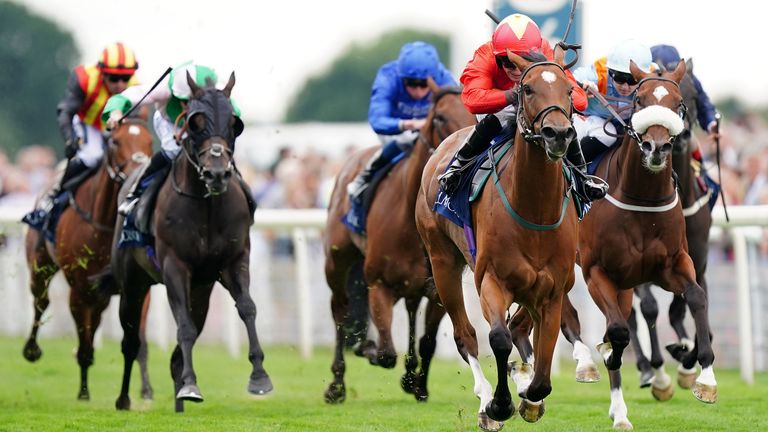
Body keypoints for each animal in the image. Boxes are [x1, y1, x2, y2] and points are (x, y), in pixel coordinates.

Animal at [22, 116, 153, 400]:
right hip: (40, 267)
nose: (139, 169)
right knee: (41, 302)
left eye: (150, 141)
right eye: (115, 142)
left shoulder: (141, 290)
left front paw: (147, 390)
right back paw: (31, 349)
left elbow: (139, 342)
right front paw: (83, 392)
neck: (106, 223)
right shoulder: (79, 291)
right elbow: (83, 343)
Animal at [111, 72, 272, 414]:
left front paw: (259, 376)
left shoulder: (234, 261)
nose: (217, 173)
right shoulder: (175, 266)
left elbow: (247, 308)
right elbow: (182, 326)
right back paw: (125, 398)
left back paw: (178, 400)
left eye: (234, 123)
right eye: (194, 122)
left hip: (202, 291)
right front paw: (191, 386)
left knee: (177, 347)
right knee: (131, 341)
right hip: (132, 284)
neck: (206, 204)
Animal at [322, 80, 474, 404]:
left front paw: (417, 383)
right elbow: (385, 352)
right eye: (439, 117)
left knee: (412, 308)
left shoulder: (439, 287)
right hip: (336, 261)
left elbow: (427, 341)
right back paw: (337, 385)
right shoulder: (378, 284)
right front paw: (365, 346)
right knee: (340, 311)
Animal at [414, 49, 576, 430]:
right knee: (466, 336)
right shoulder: (491, 279)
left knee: (521, 330)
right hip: (442, 262)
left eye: (569, 90)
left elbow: (543, 371)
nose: (558, 134)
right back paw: (486, 398)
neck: (535, 211)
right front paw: (499, 404)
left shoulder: (553, 290)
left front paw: (530, 396)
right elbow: (499, 339)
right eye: (527, 89)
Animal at [580, 60, 716, 428]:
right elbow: (621, 327)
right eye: (639, 100)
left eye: (679, 103)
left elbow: (695, 297)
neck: (642, 199)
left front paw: (702, 374)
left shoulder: (677, 263)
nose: (658, 148)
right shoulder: (598, 271)